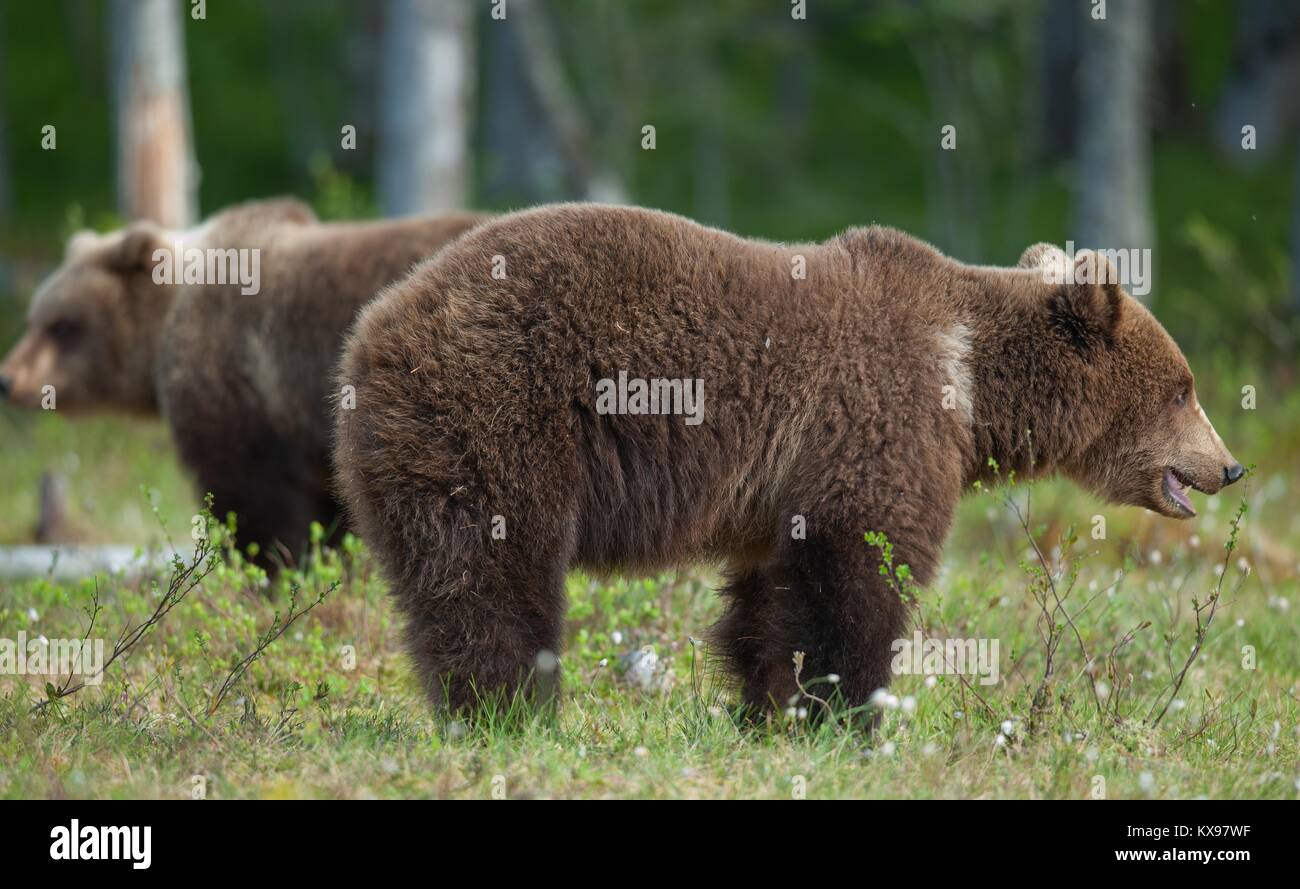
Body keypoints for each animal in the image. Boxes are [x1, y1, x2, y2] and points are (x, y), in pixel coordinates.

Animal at [1, 198, 488, 566]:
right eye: (34, 319)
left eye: (62, 326)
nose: (8, 378)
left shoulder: (242, 388)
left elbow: (252, 500)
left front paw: (267, 572)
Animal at [332, 203, 1243, 717]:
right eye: (1185, 387)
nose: (1229, 466)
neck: (971, 380)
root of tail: (372, 329)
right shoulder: (880, 422)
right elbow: (860, 574)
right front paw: (851, 714)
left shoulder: (780, 489)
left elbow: (771, 600)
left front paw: (770, 709)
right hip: (500, 411)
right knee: (494, 572)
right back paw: (513, 707)